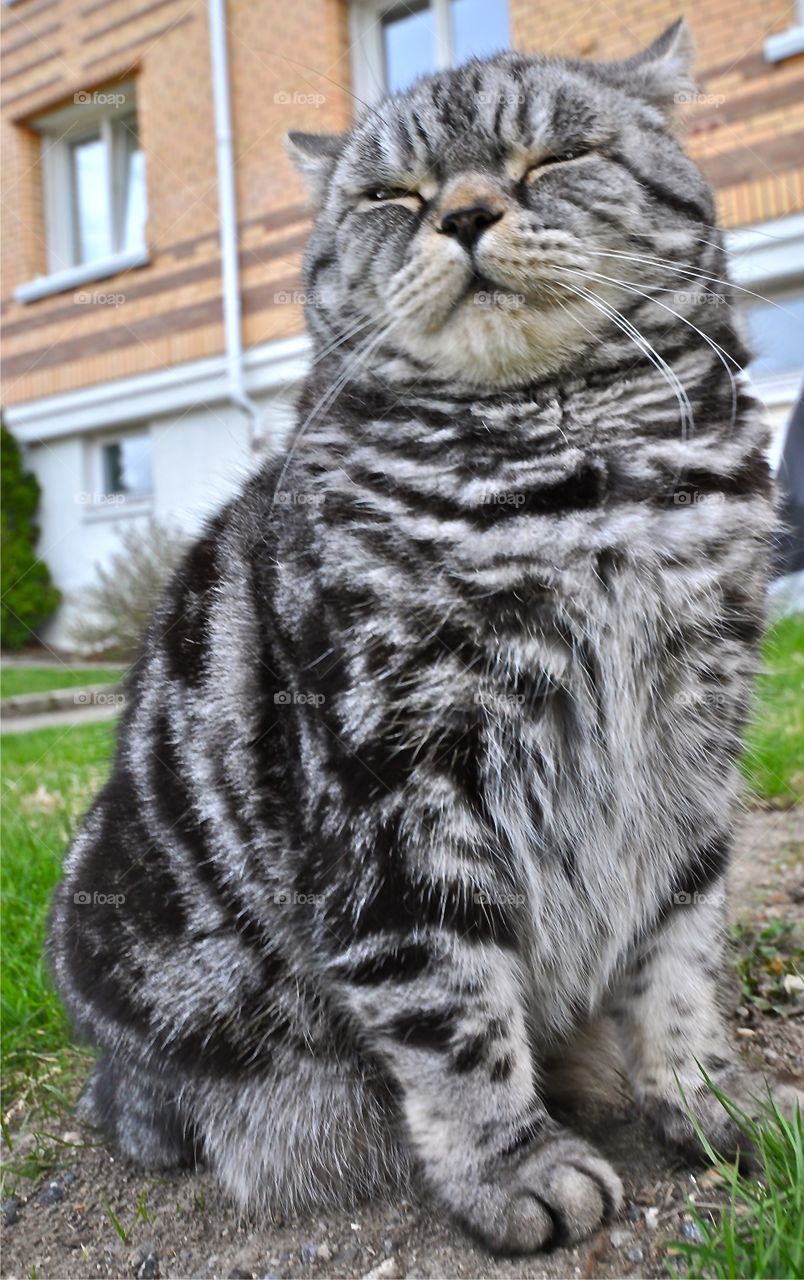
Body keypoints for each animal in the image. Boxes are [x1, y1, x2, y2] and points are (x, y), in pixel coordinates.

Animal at [50, 20, 783, 1254]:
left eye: (554, 158)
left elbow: (681, 962)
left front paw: (705, 1094)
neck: (583, 494)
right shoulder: (393, 786)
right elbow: (449, 1007)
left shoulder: (694, 752)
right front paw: (514, 1165)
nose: (466, 213)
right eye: (394, 195)